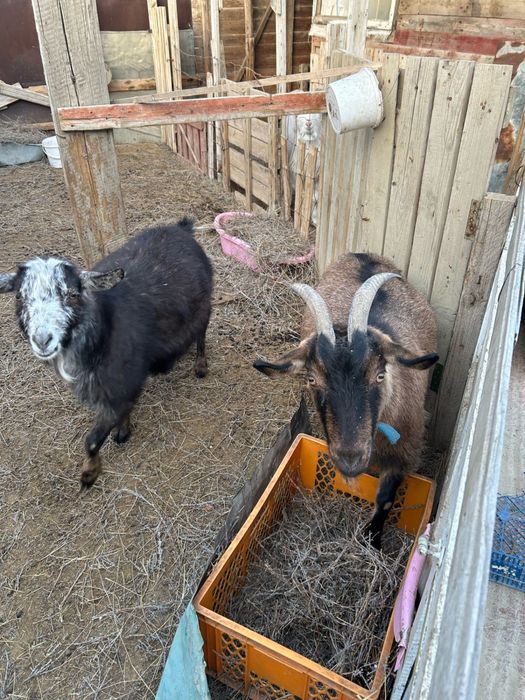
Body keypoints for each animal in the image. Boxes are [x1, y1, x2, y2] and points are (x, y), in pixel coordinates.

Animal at [0, 218, 213, 487]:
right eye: (19, 296)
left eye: (72, 294)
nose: (42, 340)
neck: (103, 329)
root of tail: (181, 227)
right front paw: (123, 430)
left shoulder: (118, 383)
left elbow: (91, 439)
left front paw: (90, 473)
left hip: (204, 306)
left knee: (201, 335)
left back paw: (200, 365)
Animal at [254, 253, 438, 547]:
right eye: (312, 379)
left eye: (380, 375)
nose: (350, 458)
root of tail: (364, 255)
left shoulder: (404, 452)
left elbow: (386, 499)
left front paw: (372, 541)